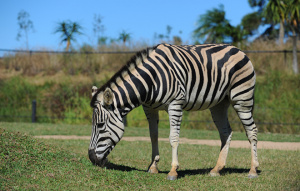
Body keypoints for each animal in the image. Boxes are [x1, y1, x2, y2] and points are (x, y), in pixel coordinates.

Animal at [88, 43, 258, 181]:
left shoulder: (175, 104)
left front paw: (173, 171)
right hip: (219, 104)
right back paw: (217, 169)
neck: (151, 80)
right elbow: (153, 136)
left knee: (252, 130)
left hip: (242, 99)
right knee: (226, 132)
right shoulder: (149, 108)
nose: (91, 158)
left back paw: (253, 170)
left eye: (100, 125)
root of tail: (237, 49)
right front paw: (153, 166)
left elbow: (173, 138)